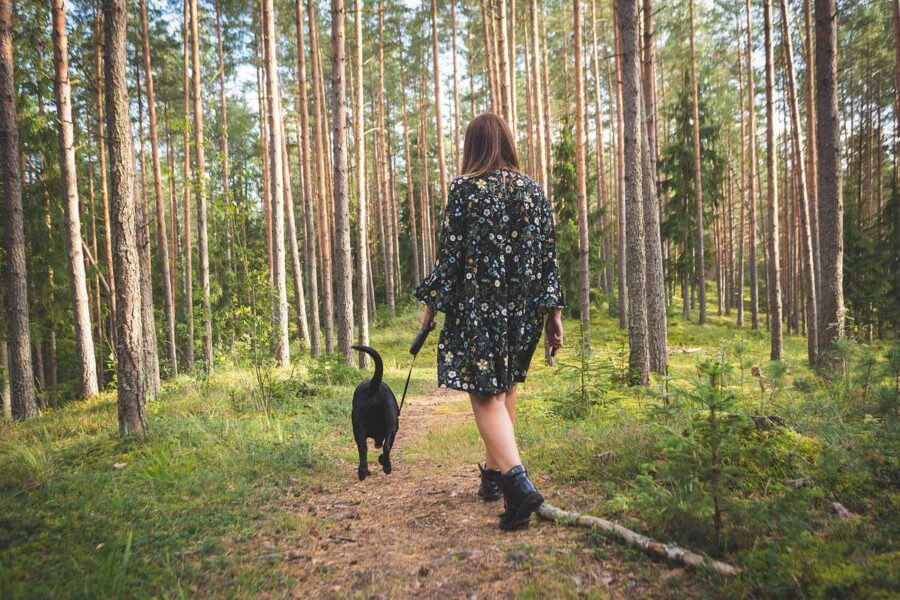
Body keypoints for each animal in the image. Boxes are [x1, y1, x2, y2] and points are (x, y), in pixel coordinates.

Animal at [352, 344, 398, 480]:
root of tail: (372, 387)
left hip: (359, 431)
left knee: (363, 450)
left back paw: (363, 472)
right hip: (391, 427)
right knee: (385, 447)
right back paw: (386, 467)